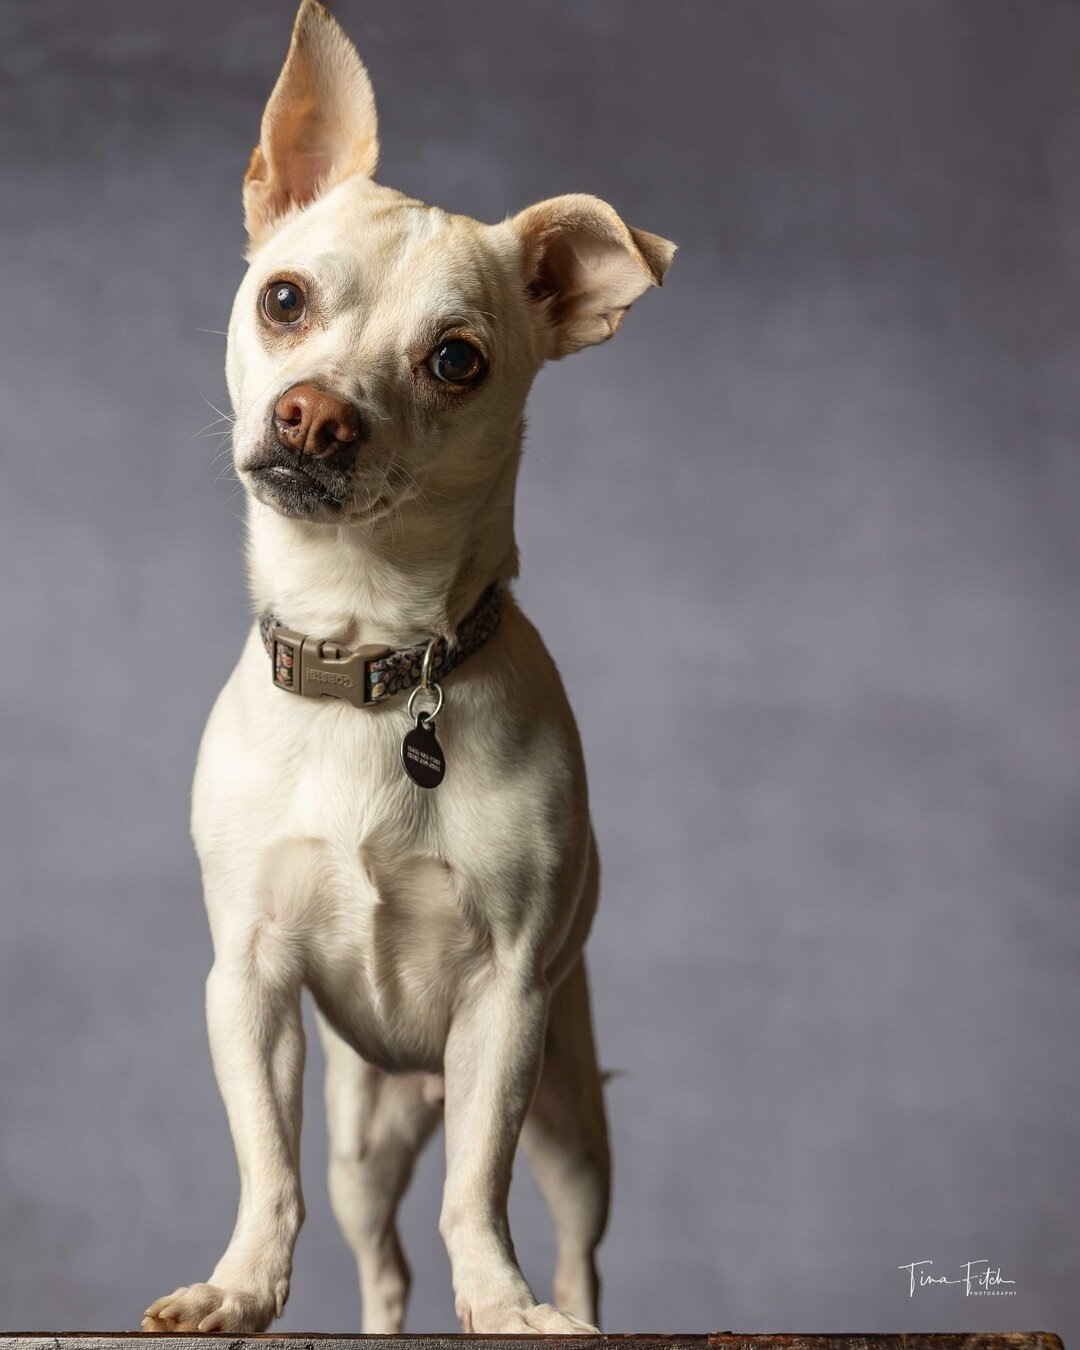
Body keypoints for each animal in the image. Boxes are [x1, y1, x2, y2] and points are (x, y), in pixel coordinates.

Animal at [139, 0, 669, 1328]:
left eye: (457, 361)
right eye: (283, 298)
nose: (316, 415)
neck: (373, 656)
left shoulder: (510, 1002)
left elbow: (476, 1194)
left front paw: (501, 1303)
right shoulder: (251, 985)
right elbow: (266, 1168)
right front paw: (240, 1288)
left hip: (571, 1119)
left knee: (572, 1240)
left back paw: (564, 1310)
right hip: (366, 1131)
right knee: (382, 1256)